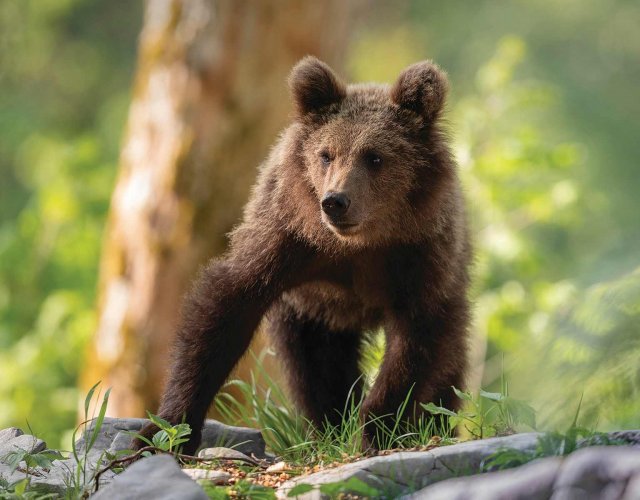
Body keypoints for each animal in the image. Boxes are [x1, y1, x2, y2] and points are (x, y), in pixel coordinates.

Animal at [135, 55, 472, 454]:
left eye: (375, 157)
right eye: (326, 154)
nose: (335, 202)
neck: (358, 245)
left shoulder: (418, 259)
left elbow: (414, 345)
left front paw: (381, 427)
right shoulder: (287, 241)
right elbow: (223, 312)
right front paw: (166, 429)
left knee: (448, 364)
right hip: (311, 310)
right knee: (315, 367)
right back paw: (329, 424)